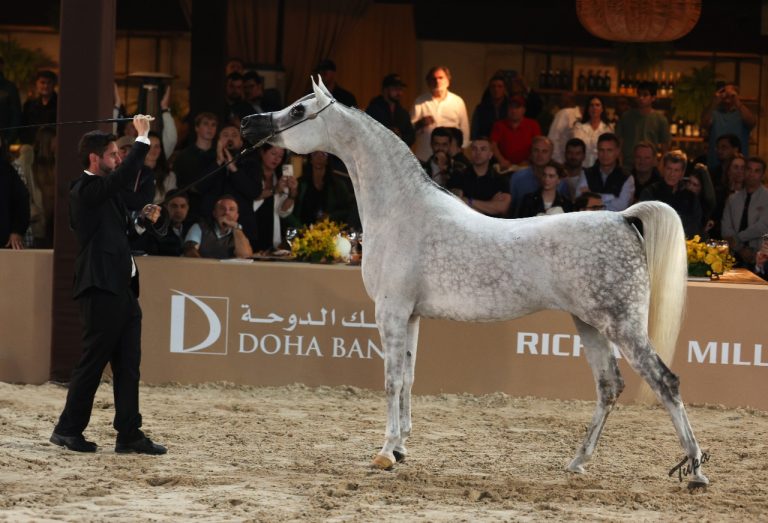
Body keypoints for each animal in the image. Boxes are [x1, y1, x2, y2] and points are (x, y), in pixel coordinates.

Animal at [241, 77, 708, 486]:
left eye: (299, 110)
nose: (248, 124)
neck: (402, 211)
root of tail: (623, 218)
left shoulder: (390, 312)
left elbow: (391, 380)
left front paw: (384, 453)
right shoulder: (410, 316)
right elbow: (408, 379)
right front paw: (401, 449)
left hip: (623, 326)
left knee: (665, 382)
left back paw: (696, 472)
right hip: (590, 325)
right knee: (610, 386)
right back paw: (577, 462)